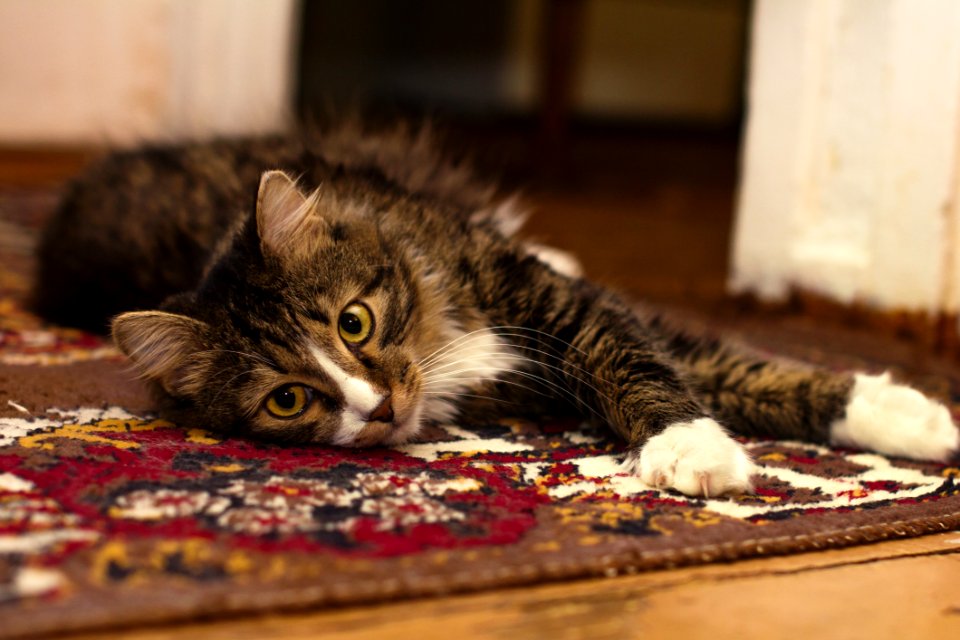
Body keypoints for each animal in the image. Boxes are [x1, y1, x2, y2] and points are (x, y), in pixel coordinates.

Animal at [31, 122, 960, 498]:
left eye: (354, 322)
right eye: (288, 400)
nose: (379, 408)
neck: (439, 337)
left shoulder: (563, 310)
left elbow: (698, 363)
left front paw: (912, 418)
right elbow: (709, 369)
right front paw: (698, 450)